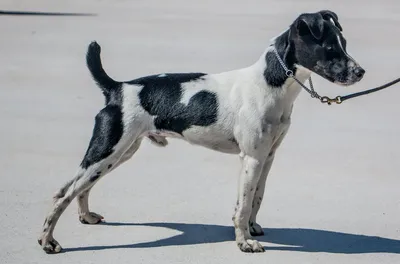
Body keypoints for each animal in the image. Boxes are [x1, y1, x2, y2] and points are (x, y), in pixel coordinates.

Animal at [38, 10, 366, 254]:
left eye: (345, 42)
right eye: (329, 48)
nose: (360, 72)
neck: (269, 84)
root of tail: (116, 88)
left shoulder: (267, 157)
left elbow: (256, 198)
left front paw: (252, 229)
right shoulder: (251, 159)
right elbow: (243, 205)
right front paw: (244, 242)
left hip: (119, 152)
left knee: (77, 187)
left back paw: (85, 217)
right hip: (109, 150)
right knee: (65, 192)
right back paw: (47, 241)